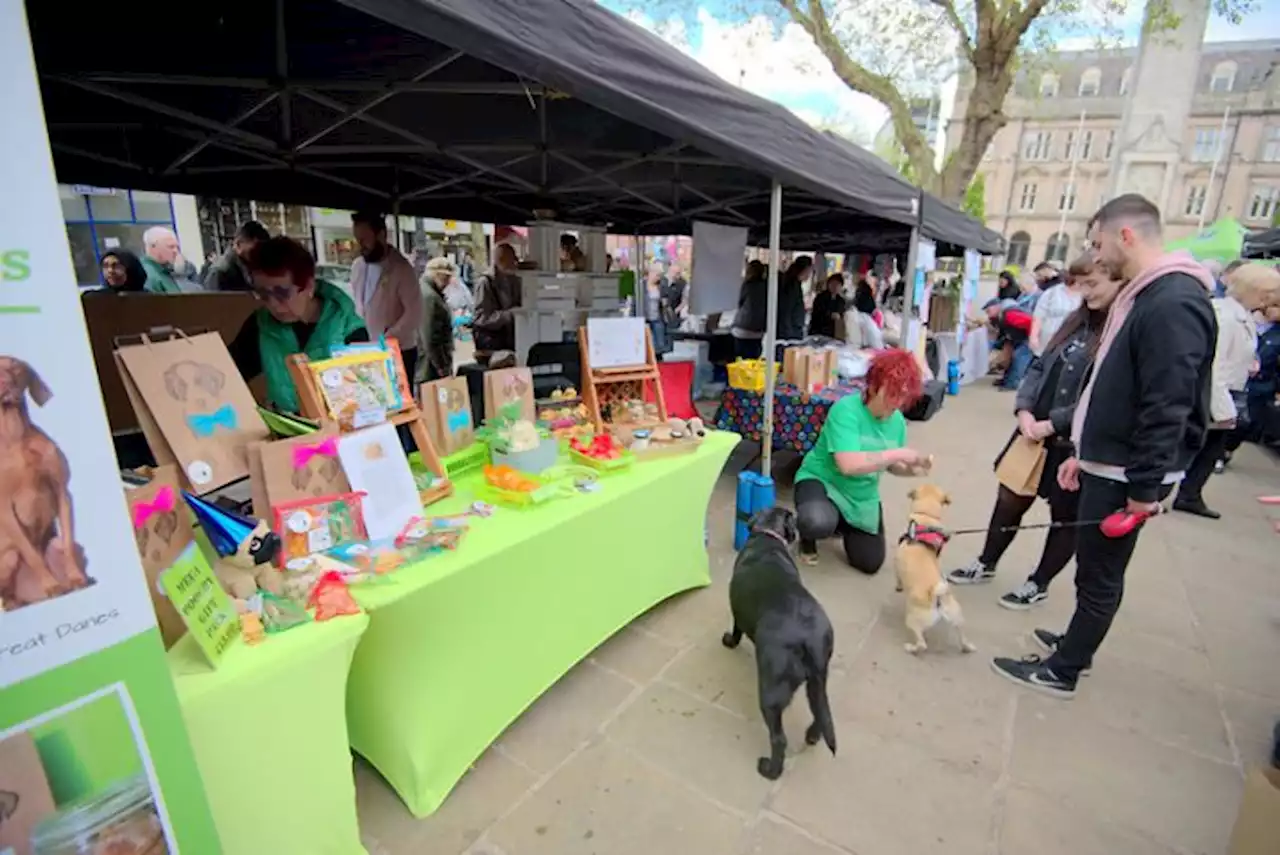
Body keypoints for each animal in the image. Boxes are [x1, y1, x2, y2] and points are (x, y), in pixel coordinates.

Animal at [727, 506, 834, 783]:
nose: (798, 527)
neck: (768, 534)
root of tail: (808, 638)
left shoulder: (736, 612)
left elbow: (736, 628)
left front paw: (729, 641)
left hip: (771, 691)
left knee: (779, 739)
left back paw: (770, 770)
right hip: (818, 681)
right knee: (821, 712)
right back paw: (812, 735)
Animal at [896, 483, 972, 660]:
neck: (926, 516)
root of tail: (938, 598)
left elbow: (898, 578)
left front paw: (898, 586)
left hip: (913, 619)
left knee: (922, 644)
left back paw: (911, 648)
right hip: (957, 616)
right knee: (962, 633)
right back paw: (967, 647)